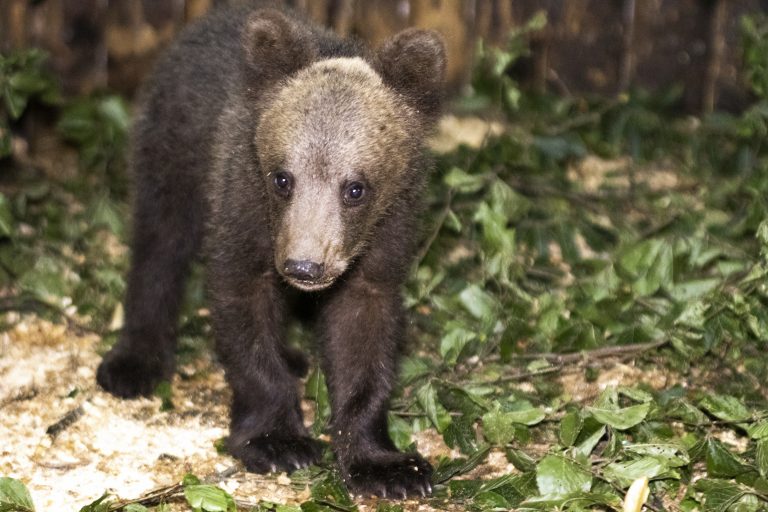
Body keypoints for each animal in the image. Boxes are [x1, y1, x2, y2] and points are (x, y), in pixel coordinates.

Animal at [96, 3, 445, 499]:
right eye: (282, 178)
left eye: (355, 188)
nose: (304, 266)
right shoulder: (242, 208)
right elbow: (242, 308)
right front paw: (278, 440)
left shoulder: (383, 238)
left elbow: (365, 335)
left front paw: (388, 466)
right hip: (173, 148)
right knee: (160, 242)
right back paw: (134, 362)